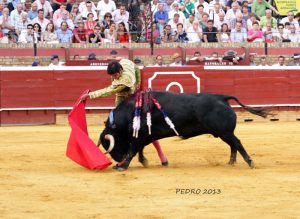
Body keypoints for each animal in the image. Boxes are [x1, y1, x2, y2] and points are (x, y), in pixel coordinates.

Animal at [99, 91, 270, 170]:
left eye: (111, 144)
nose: (117, 159)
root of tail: (222, 97)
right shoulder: (144, 136)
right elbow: (139, 149)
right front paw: (143, 161)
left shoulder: (139, 137)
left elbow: (133, 150)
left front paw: (123, 166)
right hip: (224, 133)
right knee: (233, 145)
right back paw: (231, 162)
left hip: (225, 132)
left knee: (237, 143)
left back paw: (250, 162)